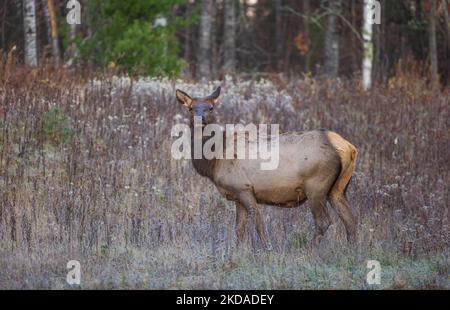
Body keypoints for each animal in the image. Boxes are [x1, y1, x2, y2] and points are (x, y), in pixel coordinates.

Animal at [174, 85, 356, 249]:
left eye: (211, 108)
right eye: (191, 108)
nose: (200, 118)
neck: (214, 162)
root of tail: (347, 147)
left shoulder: (244, 188)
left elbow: (258, 223)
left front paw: (267, 249)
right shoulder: (236, 195)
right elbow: (239, 229)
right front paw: (237, 252)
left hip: (316, 185)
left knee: (323, 221)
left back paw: (312, 250)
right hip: (338, 188)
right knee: (350, 219)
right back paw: (352, 250)